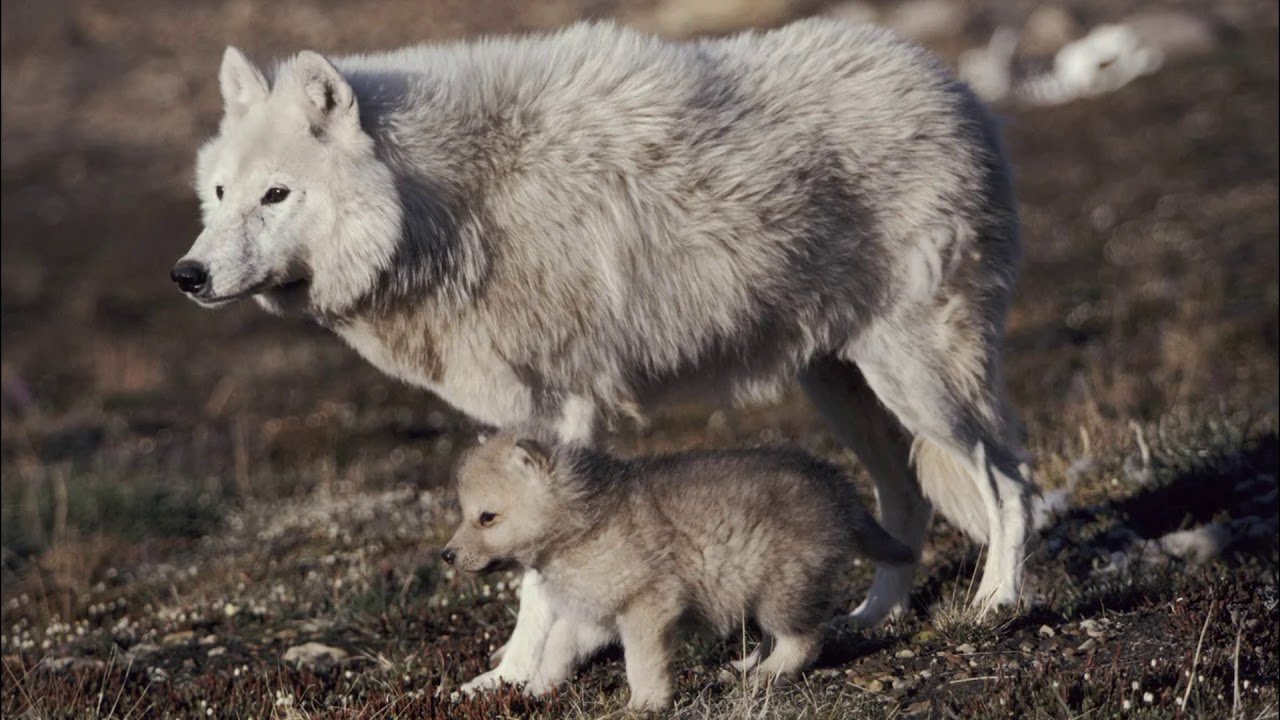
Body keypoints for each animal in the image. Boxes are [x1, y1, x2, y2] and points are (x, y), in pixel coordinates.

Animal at [175, 19, 1039, 691]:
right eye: (218, 194)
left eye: (276, 195)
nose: (188, 276)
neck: (445, 207)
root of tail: (952, 86)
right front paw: (520, 673)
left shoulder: (562, 414)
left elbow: (536, 584)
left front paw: (522, 679)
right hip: (844, 388)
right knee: (910, 499)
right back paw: (871, 616)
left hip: (918, 379)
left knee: (1010, 482)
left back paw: (994, 602)